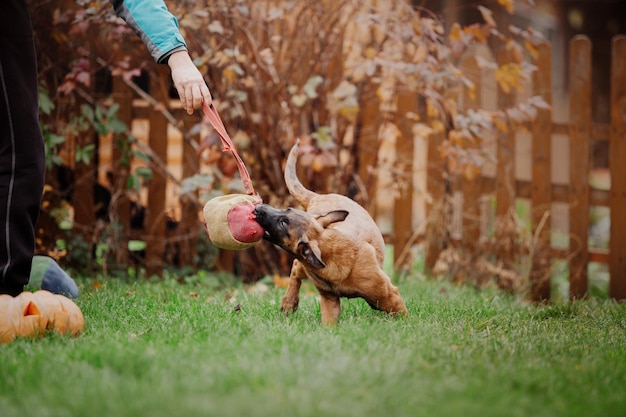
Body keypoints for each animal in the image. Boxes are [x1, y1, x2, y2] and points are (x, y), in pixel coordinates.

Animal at [252, 138, 404, 324]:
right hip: (304, 269)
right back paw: (289, 303)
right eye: (287, 210)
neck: (330, 252)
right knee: (295, 268)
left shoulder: (389, 295)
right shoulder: (329, 300)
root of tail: (318, 196)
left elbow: (402, 314)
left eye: (283, 222)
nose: (257, 208)